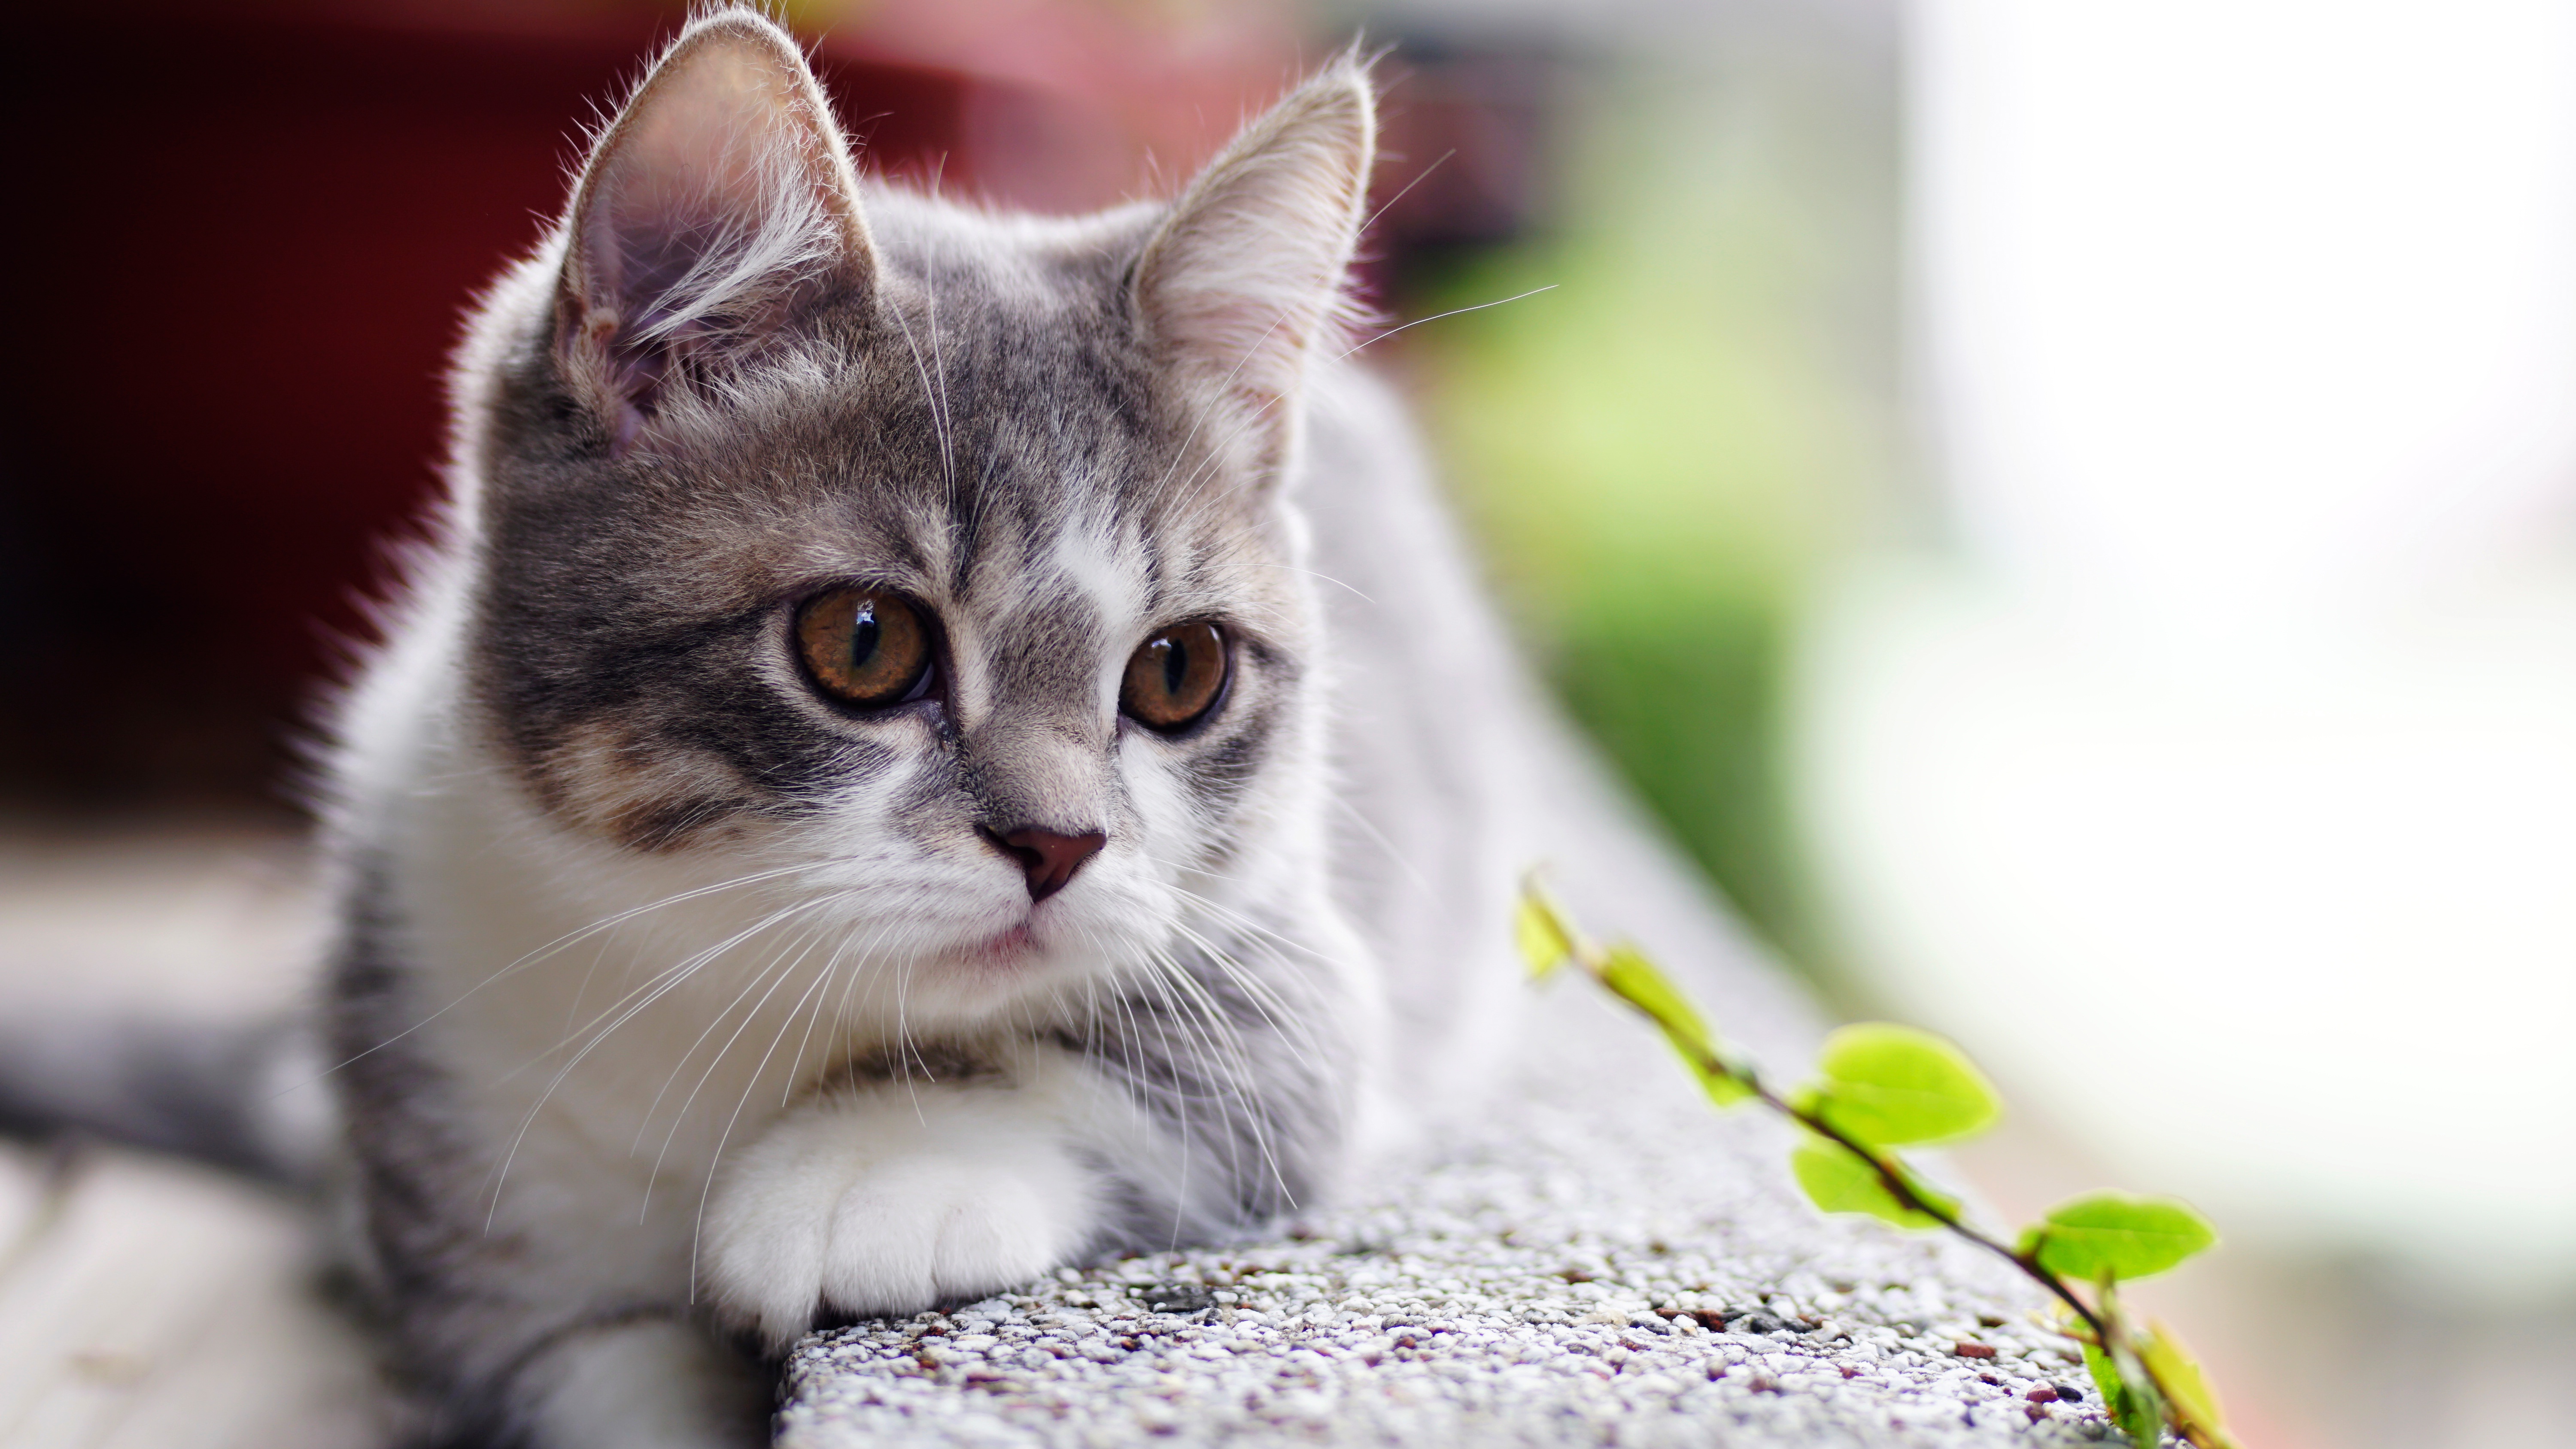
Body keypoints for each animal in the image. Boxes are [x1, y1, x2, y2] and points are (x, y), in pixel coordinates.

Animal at [45, 6, 1772, 1441]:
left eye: (1179, 672)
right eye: (861, 645)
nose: (1057, 842)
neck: (750, 1004)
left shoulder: (1290, 970)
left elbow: (1194, 1073)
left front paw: (868, 1165)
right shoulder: (467, 1117)